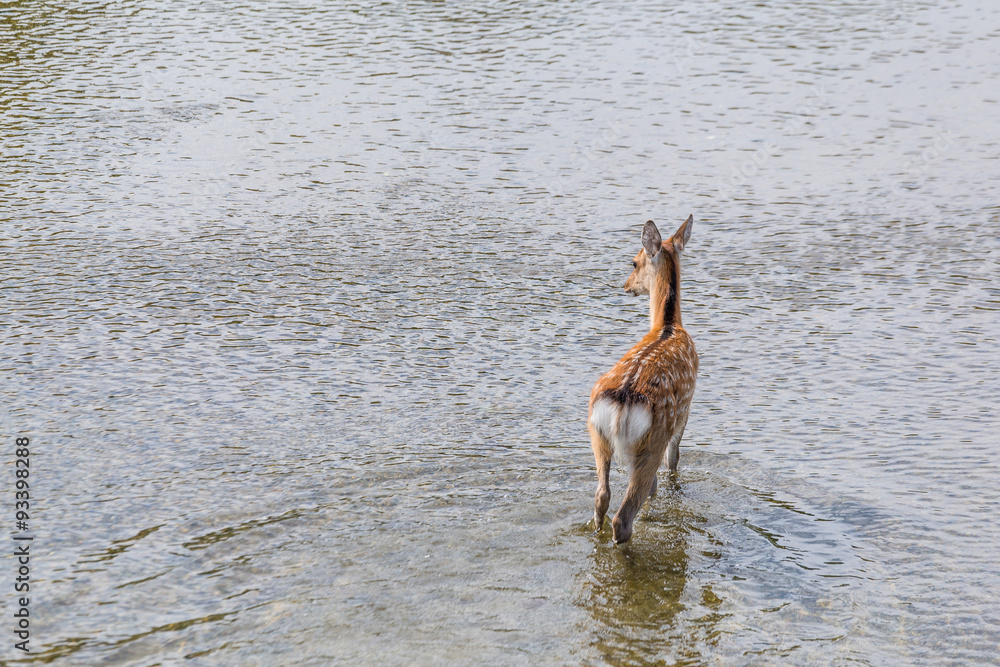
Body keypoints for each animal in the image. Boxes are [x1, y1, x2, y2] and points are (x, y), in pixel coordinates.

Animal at [588, 215, 698, 544]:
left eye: (633, 262)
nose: (626, 286)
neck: (668, 324)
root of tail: (622, 403)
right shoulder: (686, 409)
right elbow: (674, 458)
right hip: (653, 438)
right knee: (626, 513)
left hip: (597, 432)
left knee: (602, 497)